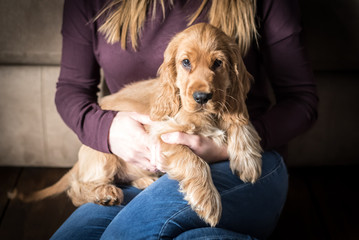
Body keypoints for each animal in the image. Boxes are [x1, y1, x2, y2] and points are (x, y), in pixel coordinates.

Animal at [10, 23, 262, 227]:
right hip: (104, 156)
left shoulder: (231, 105)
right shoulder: (162, 136)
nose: (201, 97)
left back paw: (144, 180)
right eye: (186, 62)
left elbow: (243, 124)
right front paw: (208, 200)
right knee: (77, 187)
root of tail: (80, 160)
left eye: (218, 63)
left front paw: (248, 161)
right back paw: (105, 193)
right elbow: (194, 161)